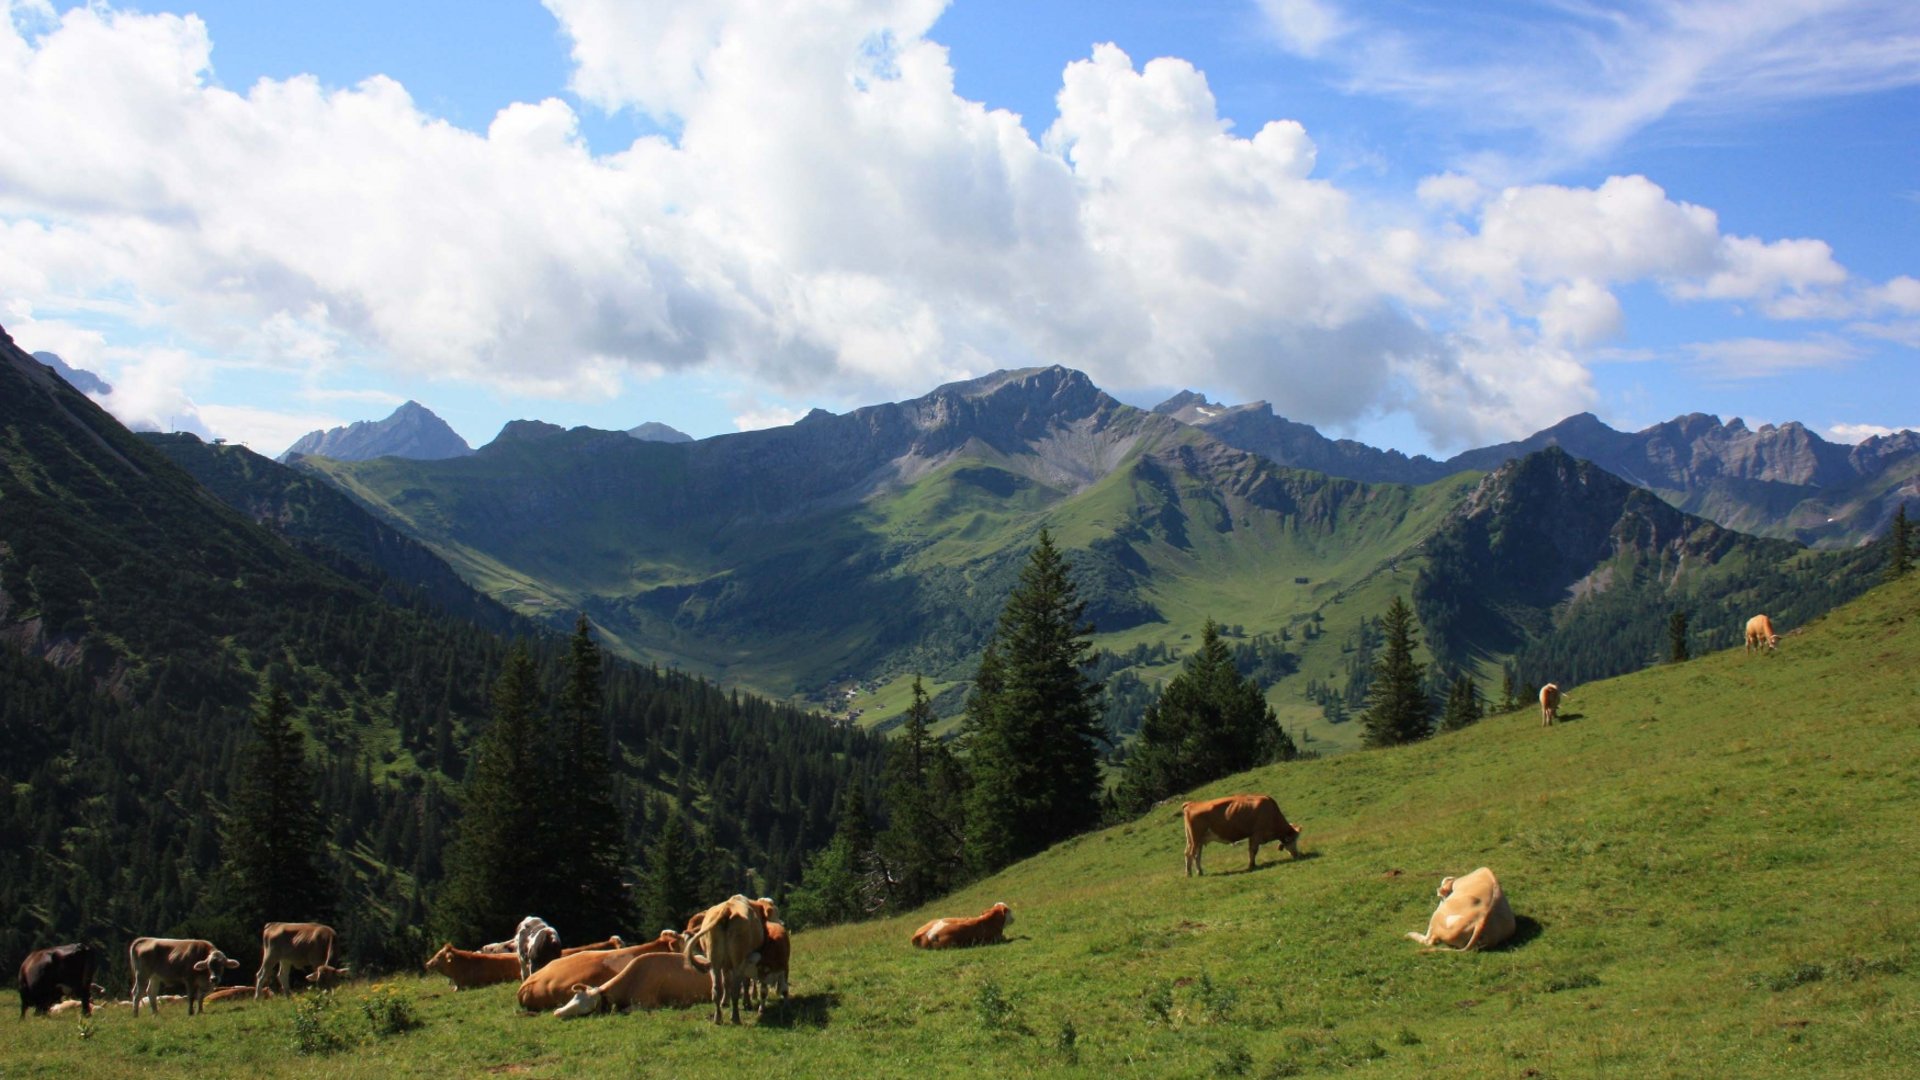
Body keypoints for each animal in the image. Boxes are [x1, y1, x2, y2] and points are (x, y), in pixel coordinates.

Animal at [682, 895, 766, 1024]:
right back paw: (735, 1018)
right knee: (735, 990)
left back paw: (718, 1018)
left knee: (716, 989)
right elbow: (745, 982)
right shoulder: (746, 962)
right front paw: (747, 1003)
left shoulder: (725, 965)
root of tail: (727, 909)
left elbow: (726, 982)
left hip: (714, 961)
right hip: (738, 961)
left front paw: (725, 1002)